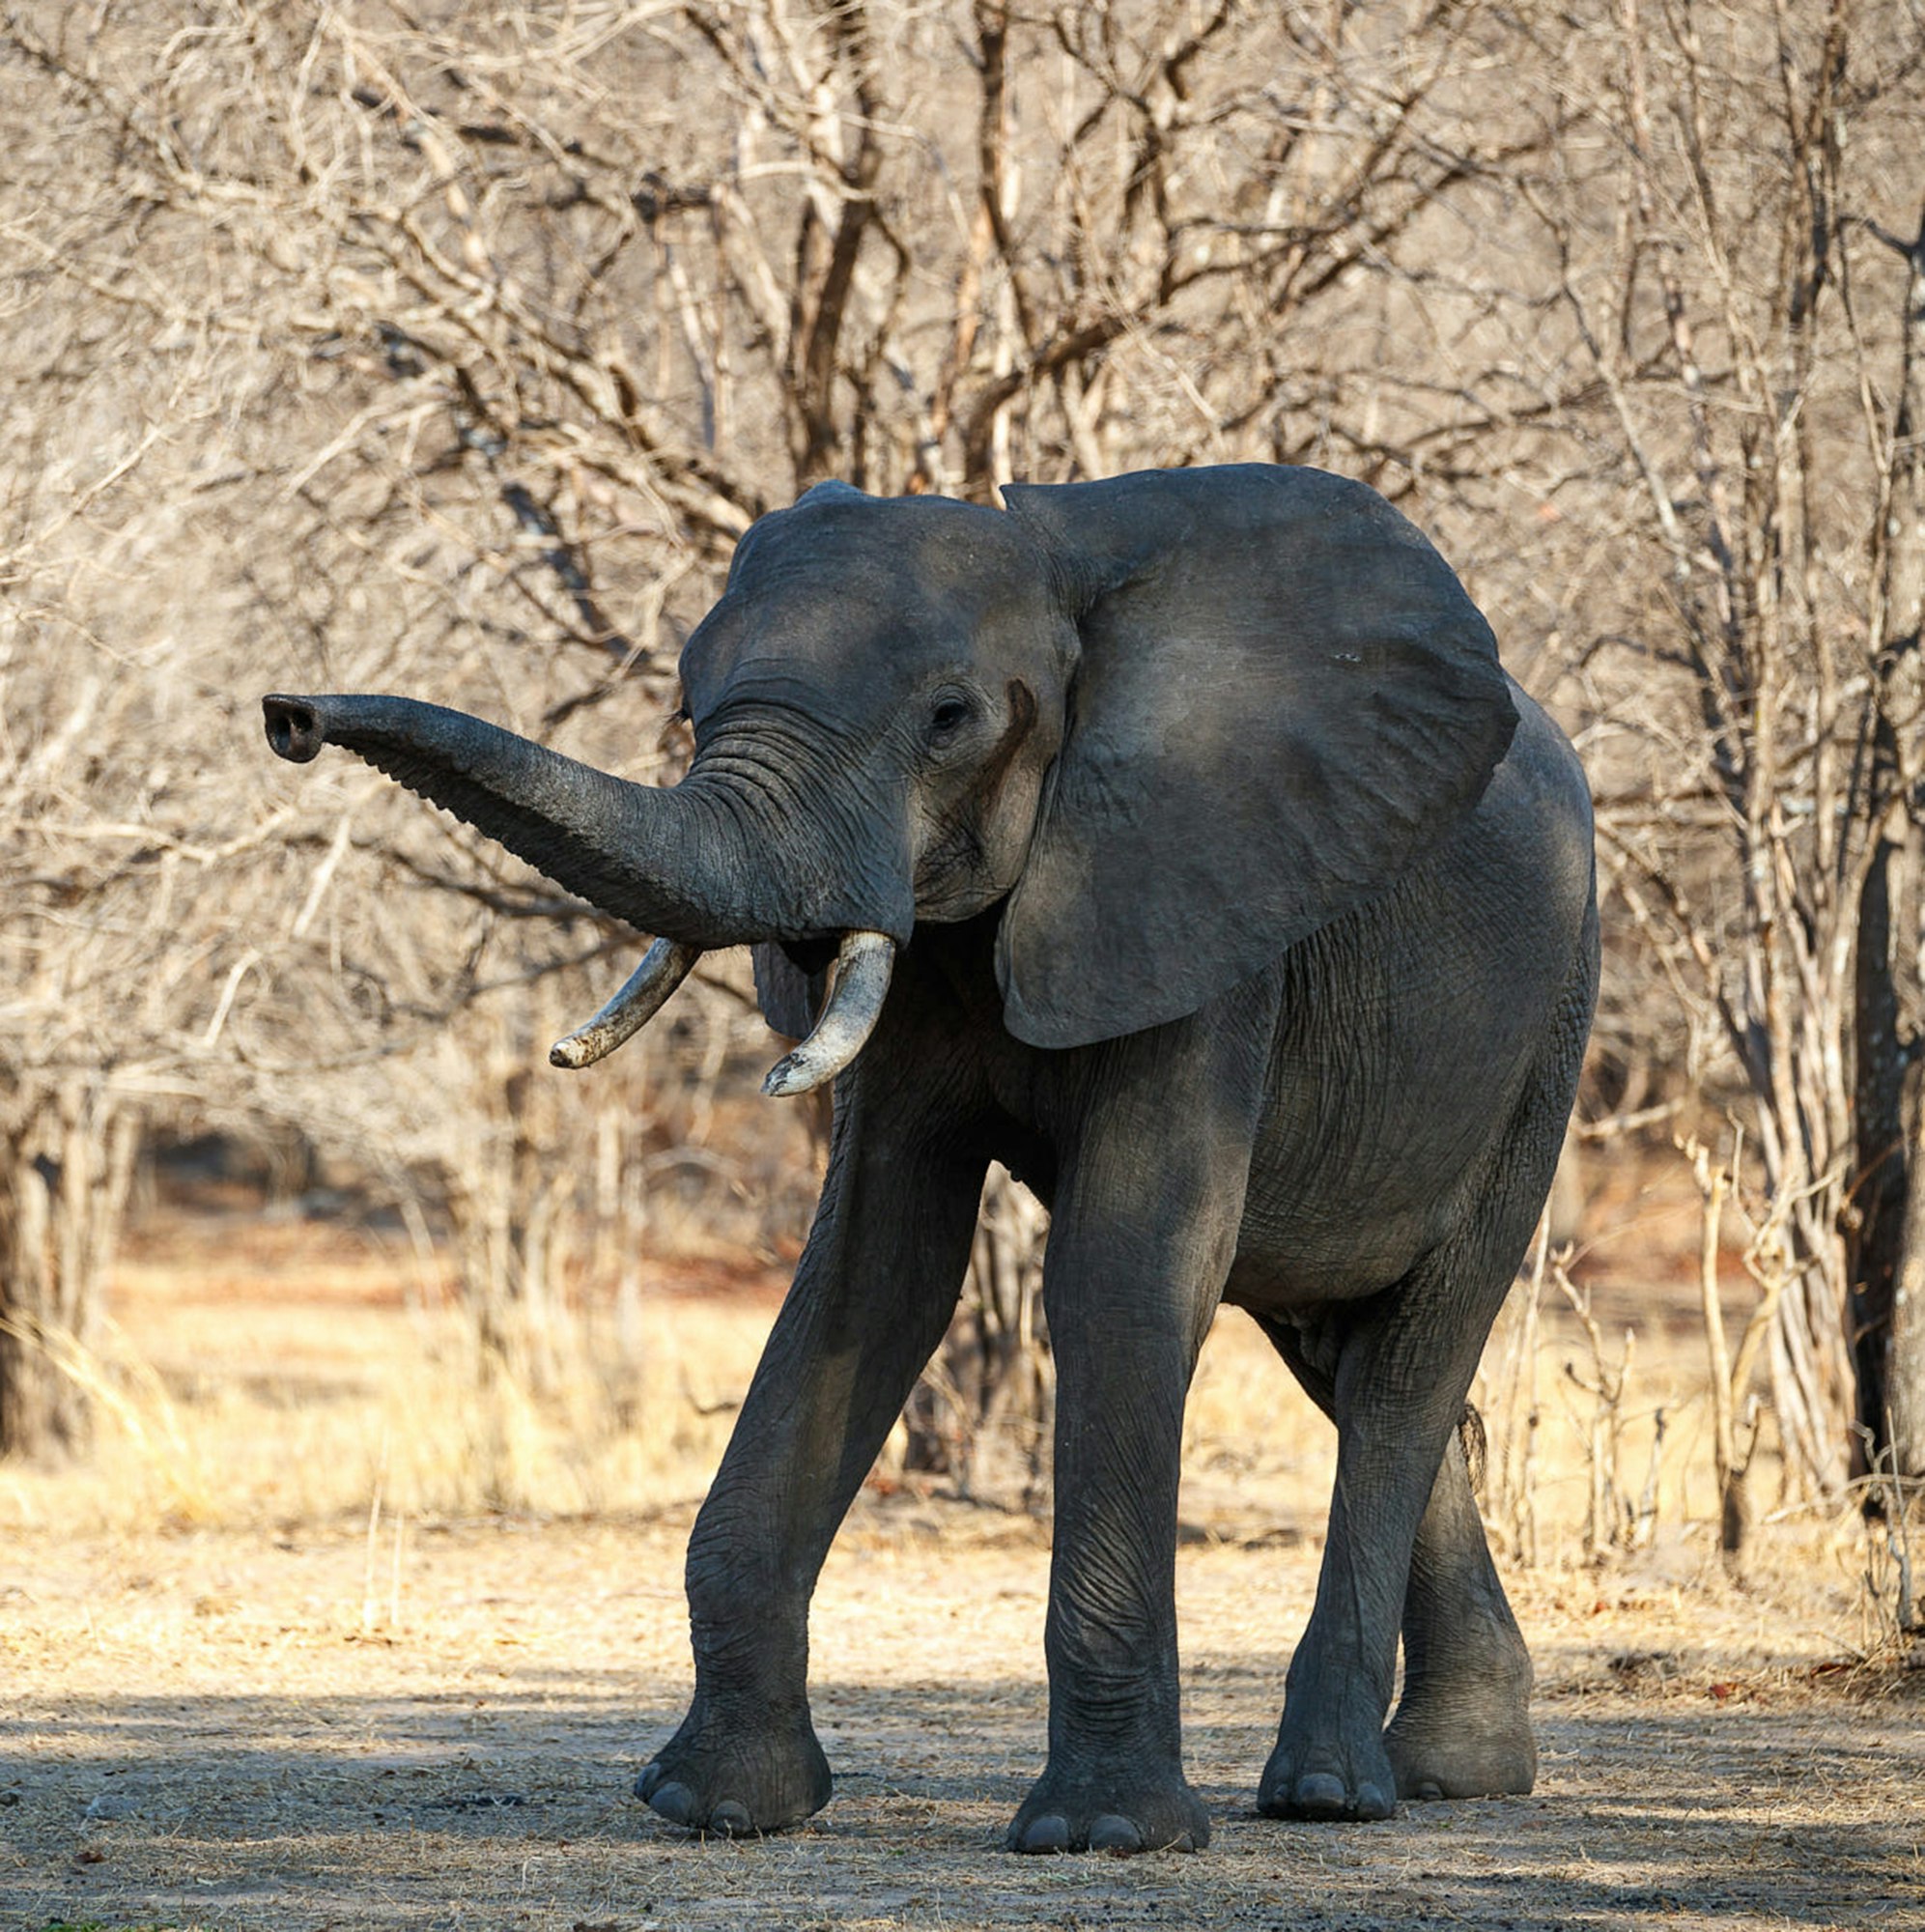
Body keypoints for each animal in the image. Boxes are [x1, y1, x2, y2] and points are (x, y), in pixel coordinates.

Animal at [267, 456, 1592, 1855]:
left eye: (951, 718)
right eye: (685, 703)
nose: (289, 715)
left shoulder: (1203, 904)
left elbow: (1121, 1273)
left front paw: (1102, 1836)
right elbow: (873, 1270)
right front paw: (713, 1805)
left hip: (1549, 1026)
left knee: (1402, 1371)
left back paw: (1332, 1790)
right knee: (1343, 1359)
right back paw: (1458, 1769)